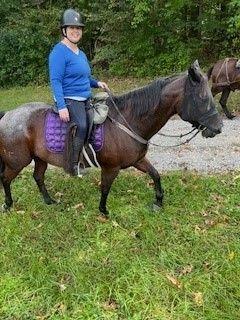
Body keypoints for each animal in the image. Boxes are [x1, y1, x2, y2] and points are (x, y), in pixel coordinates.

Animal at [0, 60, 222, 215]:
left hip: (39, 158)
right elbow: (105, 188)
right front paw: (103, 211)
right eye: (203, 98)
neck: (129, 121)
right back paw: (8, 205)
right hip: (17, 161)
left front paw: (158, 202)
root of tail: (7, 115)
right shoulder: (111, 168)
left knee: (38, 177)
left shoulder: (138, 160)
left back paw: (48, 201)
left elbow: (155, 175)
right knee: (5, 179)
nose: (218, 127)